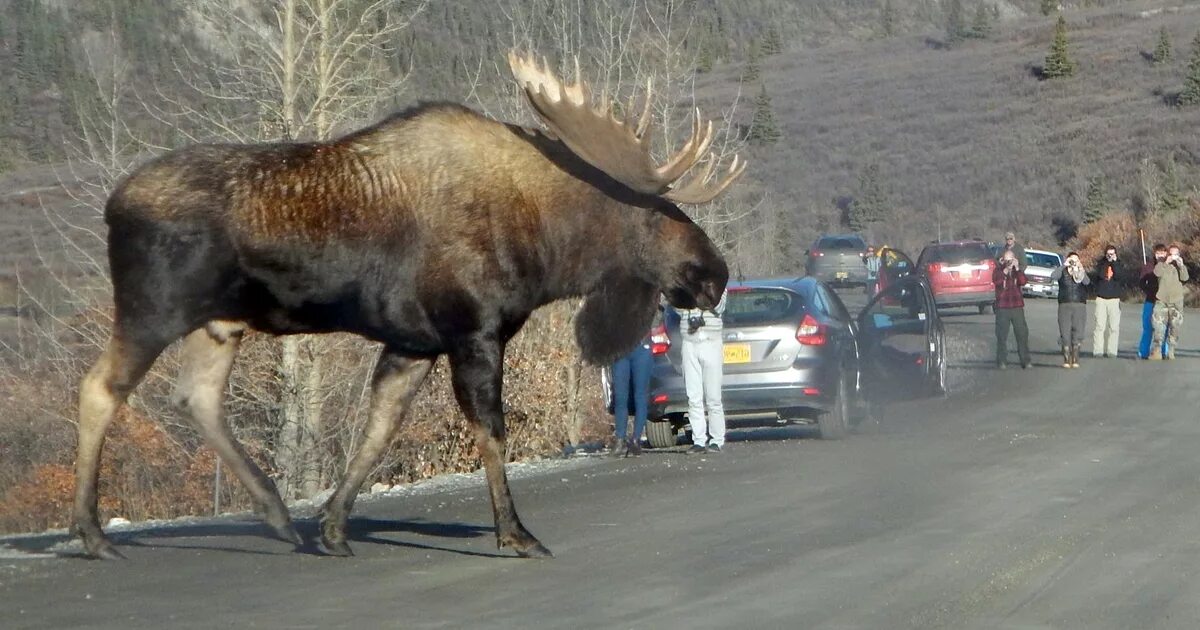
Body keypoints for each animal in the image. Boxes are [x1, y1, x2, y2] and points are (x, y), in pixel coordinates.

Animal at [70, 51, 744, 556]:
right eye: (656, 213)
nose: (715, 274)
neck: (546, 246)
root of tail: (111, 204)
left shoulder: (413, 343)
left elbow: (379, 430)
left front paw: (333, 528)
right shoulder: (473, 332)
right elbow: (490, 432)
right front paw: (515, 533)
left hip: (218, 322)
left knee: (198, 398)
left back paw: (278, 514)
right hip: (153, 309)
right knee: (100, 388)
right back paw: (92, 533)